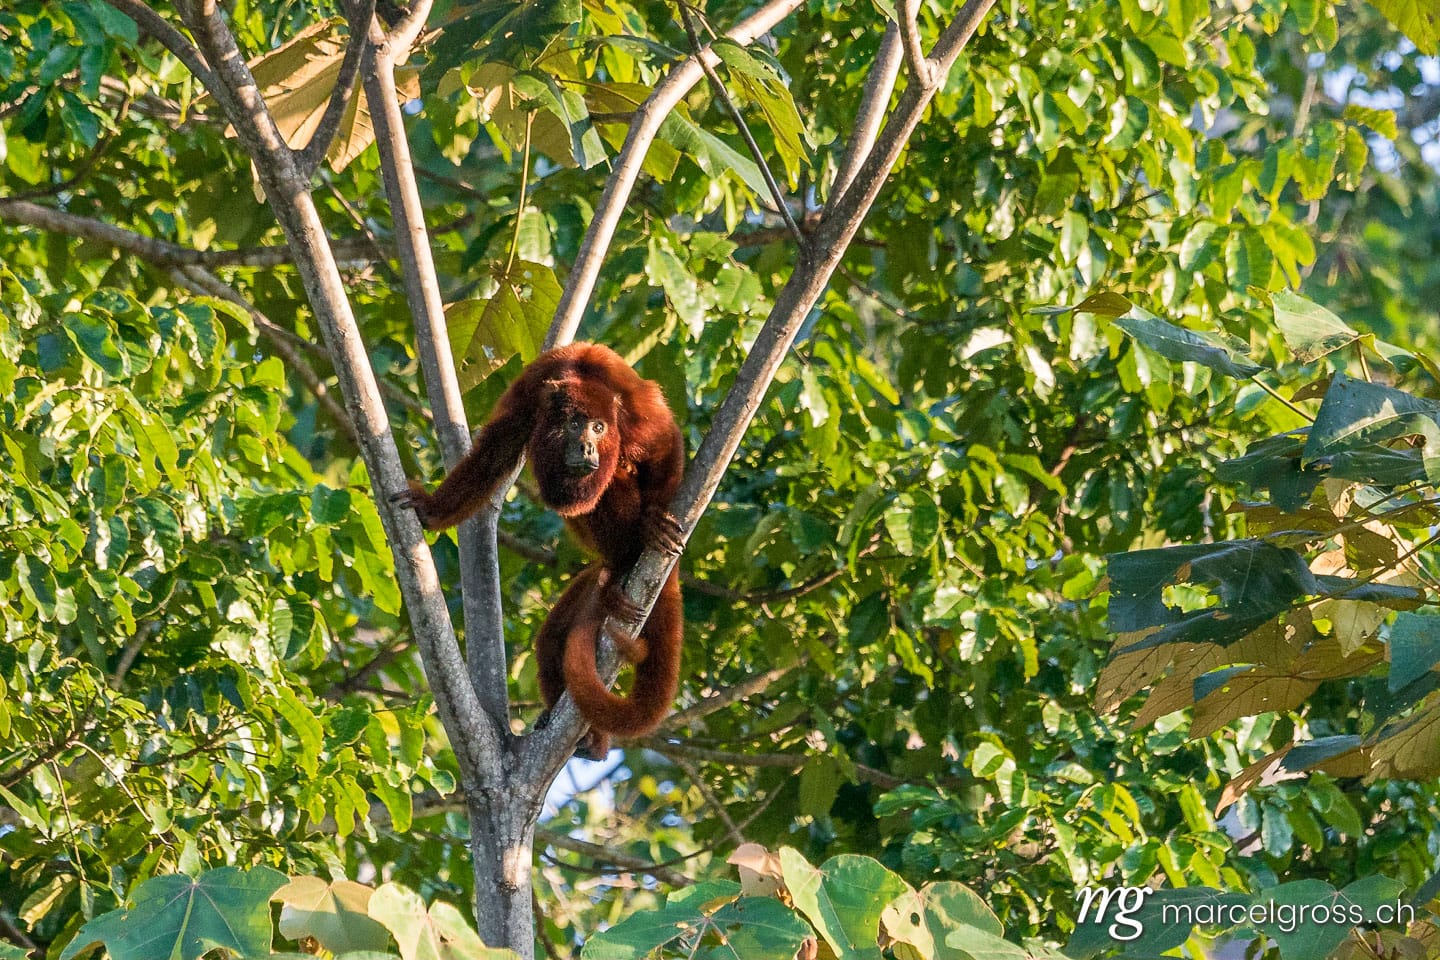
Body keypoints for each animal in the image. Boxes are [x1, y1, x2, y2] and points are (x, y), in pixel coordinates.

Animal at [393, 342, 684, 757]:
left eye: (599, 427)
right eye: (577, 424)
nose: (589, 446)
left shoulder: (632, 412)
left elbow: (664, 445)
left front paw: (656, 522)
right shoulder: (528, 396)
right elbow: (494, 454)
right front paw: (429, 509)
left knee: (617, 475)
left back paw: (632, 556)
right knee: (552, 640)